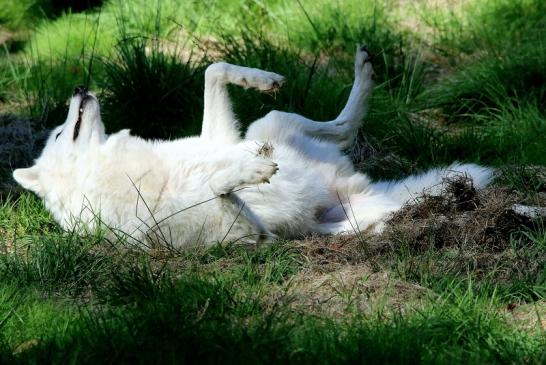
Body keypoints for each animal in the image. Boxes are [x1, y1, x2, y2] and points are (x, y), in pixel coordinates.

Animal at [12, 47, 490, 247]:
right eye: (59, 134)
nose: (78, 88)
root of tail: (350, 186)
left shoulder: (219, 138)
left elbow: (212, 70)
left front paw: (260, 79)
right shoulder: (250, 235)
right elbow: (218, 187)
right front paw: (251, 173)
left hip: (269, 123)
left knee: (342, 126)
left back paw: (365, 68)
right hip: (343, 222)